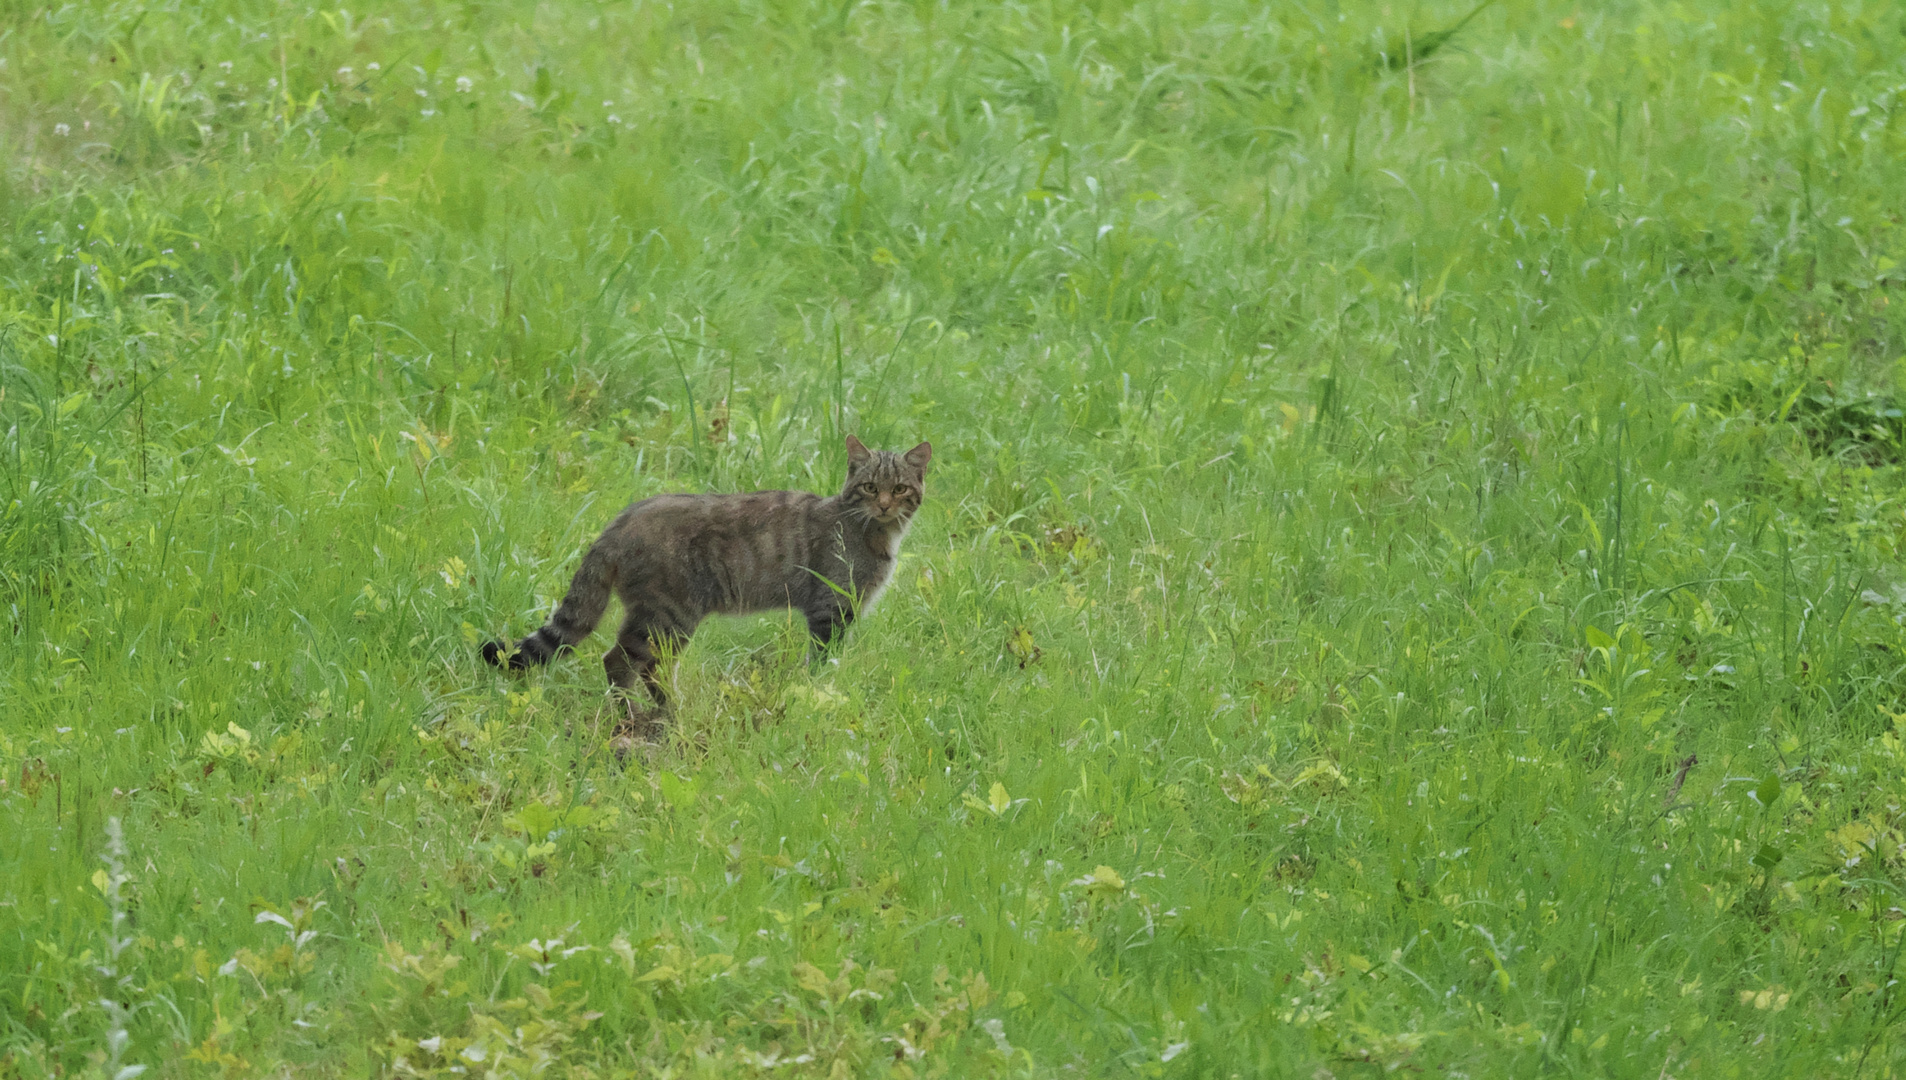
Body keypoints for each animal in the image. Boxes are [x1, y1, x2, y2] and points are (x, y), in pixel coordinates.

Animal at [484, 430, 930, 720]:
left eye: (900, 489)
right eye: (870, 487)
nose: (885, 505)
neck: (873, 532)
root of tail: (619, 522)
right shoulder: (830, 610)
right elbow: (821, 663)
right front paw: (817, 692)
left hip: (665, 622)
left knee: (648, 667)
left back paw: (668, 708)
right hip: (668, 614)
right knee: (618, 661)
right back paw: (638, 713)